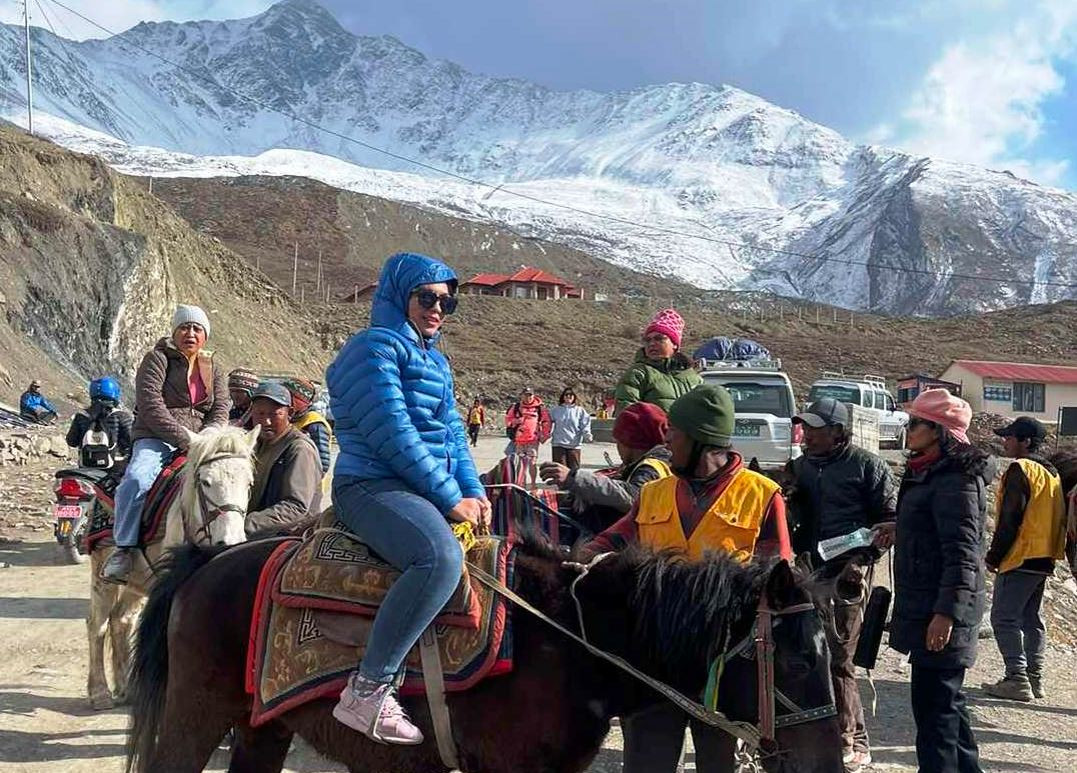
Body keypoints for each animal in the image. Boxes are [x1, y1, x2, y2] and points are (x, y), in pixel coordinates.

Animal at [85, 426, 259, 710]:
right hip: (102, 576)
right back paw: (99, 693)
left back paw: (127, 688)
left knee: (121, 620)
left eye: (248, 483)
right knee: (97, 625)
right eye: (205, 482)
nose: (229, 541)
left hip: (137, 583)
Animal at [126, 533, 844, 773]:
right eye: (799, 661)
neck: (573, 639)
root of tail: (207, 560)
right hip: (197, 715)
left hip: (262, 728)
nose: (829, 761)